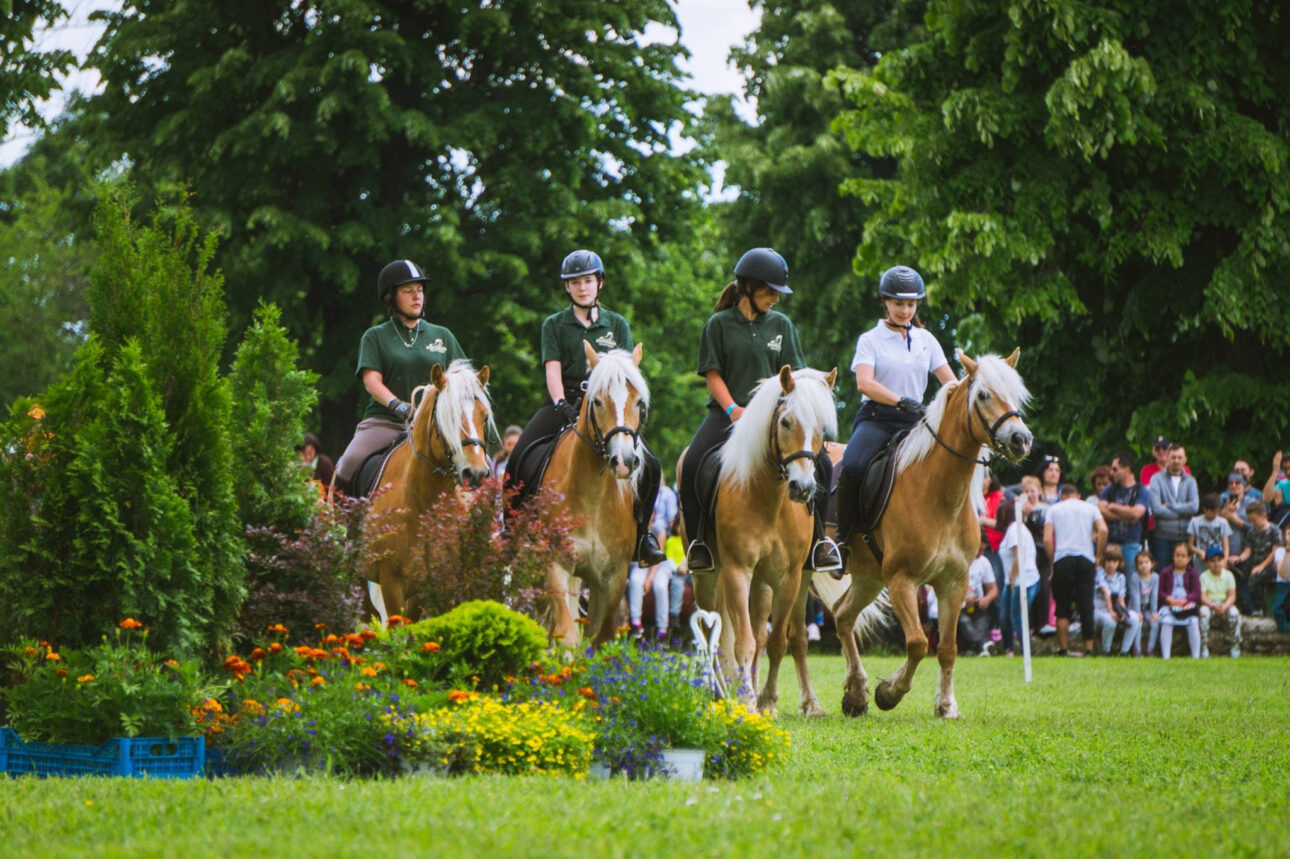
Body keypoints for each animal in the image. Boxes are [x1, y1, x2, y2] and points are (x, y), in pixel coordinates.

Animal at [361, 358, 495, 619]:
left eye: (484, 417)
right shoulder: (390, 579)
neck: (421, 502)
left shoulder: (428, 583)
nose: (475, 473)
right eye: (448, 417)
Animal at [539, 340, 650, 642]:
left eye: (639, 402)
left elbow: (599, 639)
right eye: (598, 401)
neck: (593, 495)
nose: (624, 461)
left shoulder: (613, 578)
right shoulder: (556, 566)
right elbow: (567, 635)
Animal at [686, 363, 835, 711]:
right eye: (785, 422)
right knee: (713, 632)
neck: (770, 499)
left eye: (822, 428)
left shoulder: (789, 576)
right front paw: (748, 701)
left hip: (765, 583)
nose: (803, 488)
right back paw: (720, 691)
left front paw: (766, 701)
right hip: (708, 577)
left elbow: (776, 639)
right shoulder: (737, 571)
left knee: (760, 630)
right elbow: (743, 642)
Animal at [830, 348, 1032, 717]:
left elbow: (948, 647)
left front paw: (947, 706)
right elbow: (917, 643)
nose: (1020, 439)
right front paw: (890, 692)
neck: (937, 495)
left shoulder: (954, 583)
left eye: (1016, 393)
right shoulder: (902, 580)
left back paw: (855, 695)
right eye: (984, 394)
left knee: (842, 616)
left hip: (868, 578)